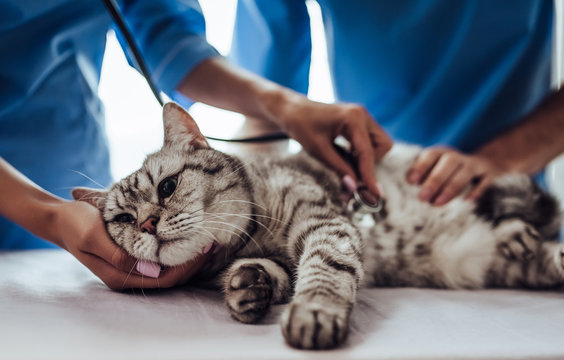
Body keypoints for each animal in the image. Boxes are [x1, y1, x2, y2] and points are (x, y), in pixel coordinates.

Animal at [72, 102, 560, 350]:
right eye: (123, 219)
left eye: (168, 186)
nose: (148, 224)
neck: (250, 238)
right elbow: (272, 274)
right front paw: (248, 286)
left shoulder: (326, 223)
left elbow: (324, 269)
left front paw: (315, 311)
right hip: (474, 259)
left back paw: (514, 228)